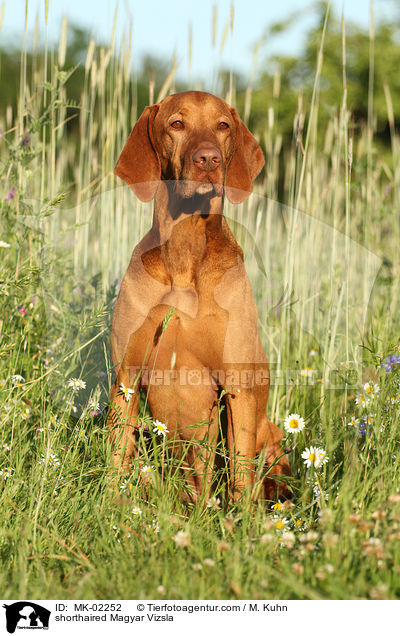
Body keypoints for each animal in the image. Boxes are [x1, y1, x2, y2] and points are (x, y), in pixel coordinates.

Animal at [108, 90, 290, 502]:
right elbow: (115, 460)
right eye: (177, 124)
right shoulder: (126, 377)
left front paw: (242, 519)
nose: (209, 159)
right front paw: (107, 506)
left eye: (223, 125)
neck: (186, 253)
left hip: (272, 435)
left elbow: (241, 477)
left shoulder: (237, 387)